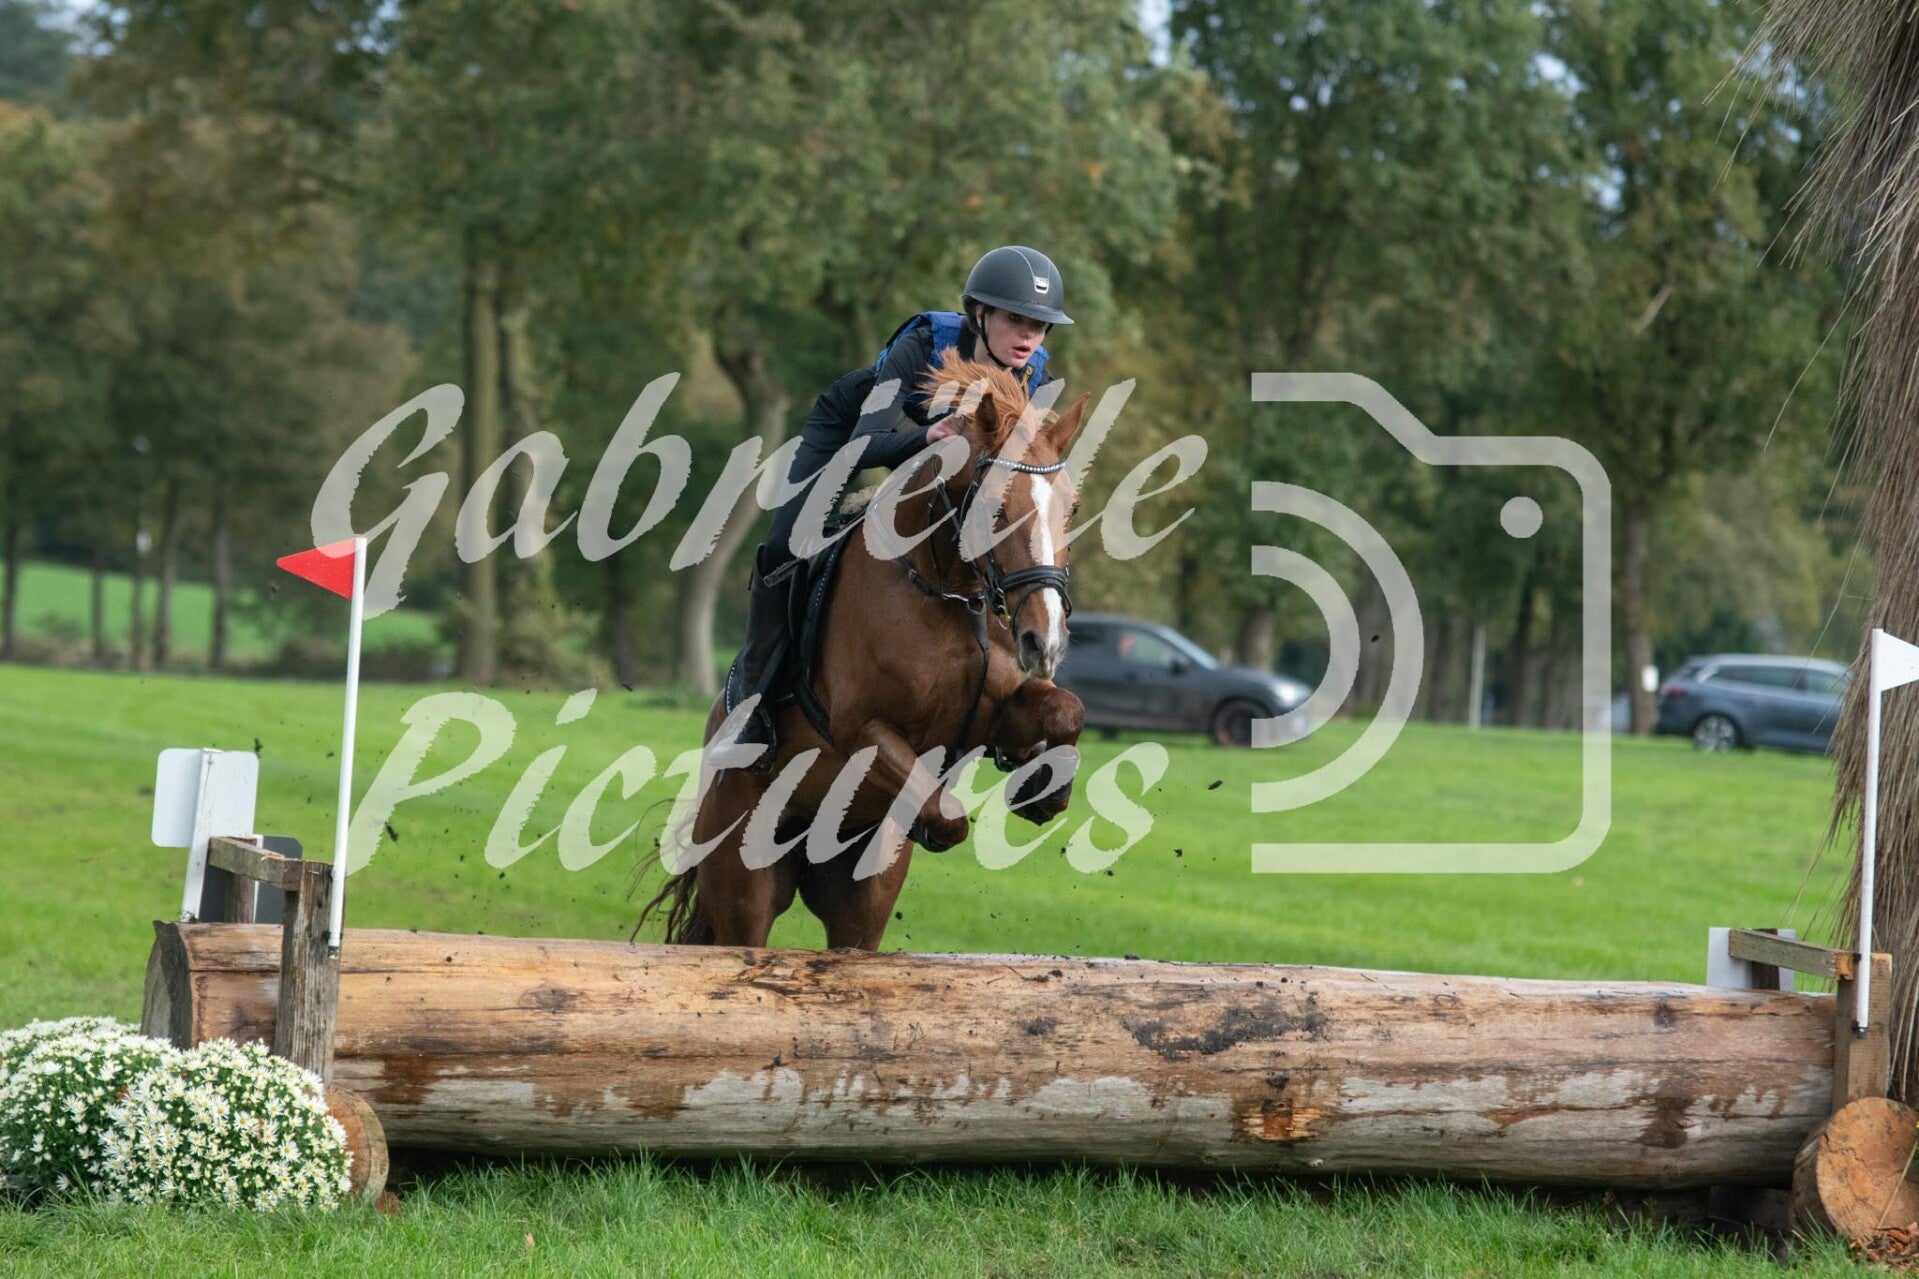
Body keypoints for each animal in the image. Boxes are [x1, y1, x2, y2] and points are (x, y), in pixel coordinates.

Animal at [641, 351, 1091, 949]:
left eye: (1071, 509)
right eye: (996, 509)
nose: (1046, 640)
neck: (945, 592)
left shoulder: (996, 710)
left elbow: (1066, 710)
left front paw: (1042, 786)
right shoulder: (862, 731)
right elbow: (947, 816)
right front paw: (937, 823)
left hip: (859, 906)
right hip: (744, 880)